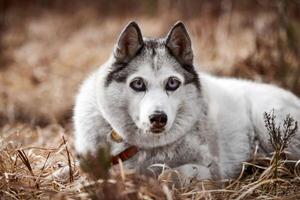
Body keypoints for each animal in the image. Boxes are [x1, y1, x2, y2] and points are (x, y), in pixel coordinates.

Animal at [73, 21, 300, 180]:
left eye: (172, 83)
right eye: (137, 84)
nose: (158, 118)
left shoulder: (209, 169)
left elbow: (168, 174)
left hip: (268, 121)